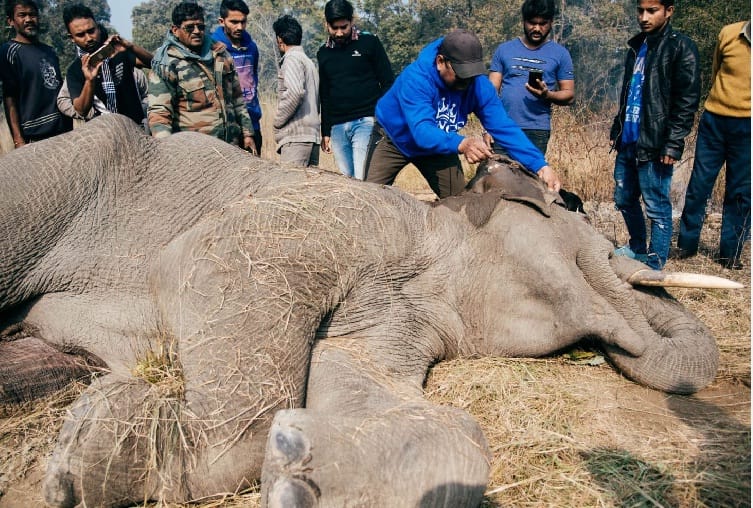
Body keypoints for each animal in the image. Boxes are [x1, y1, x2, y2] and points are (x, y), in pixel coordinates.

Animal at [0, 115, 736, 507]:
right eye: (572, 207)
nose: (628, 259)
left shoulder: (400, 318)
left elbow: (356, 378)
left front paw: (297, 475)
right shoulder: (343, 212)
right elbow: (211, 251)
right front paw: (81, 461)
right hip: (65, 172)